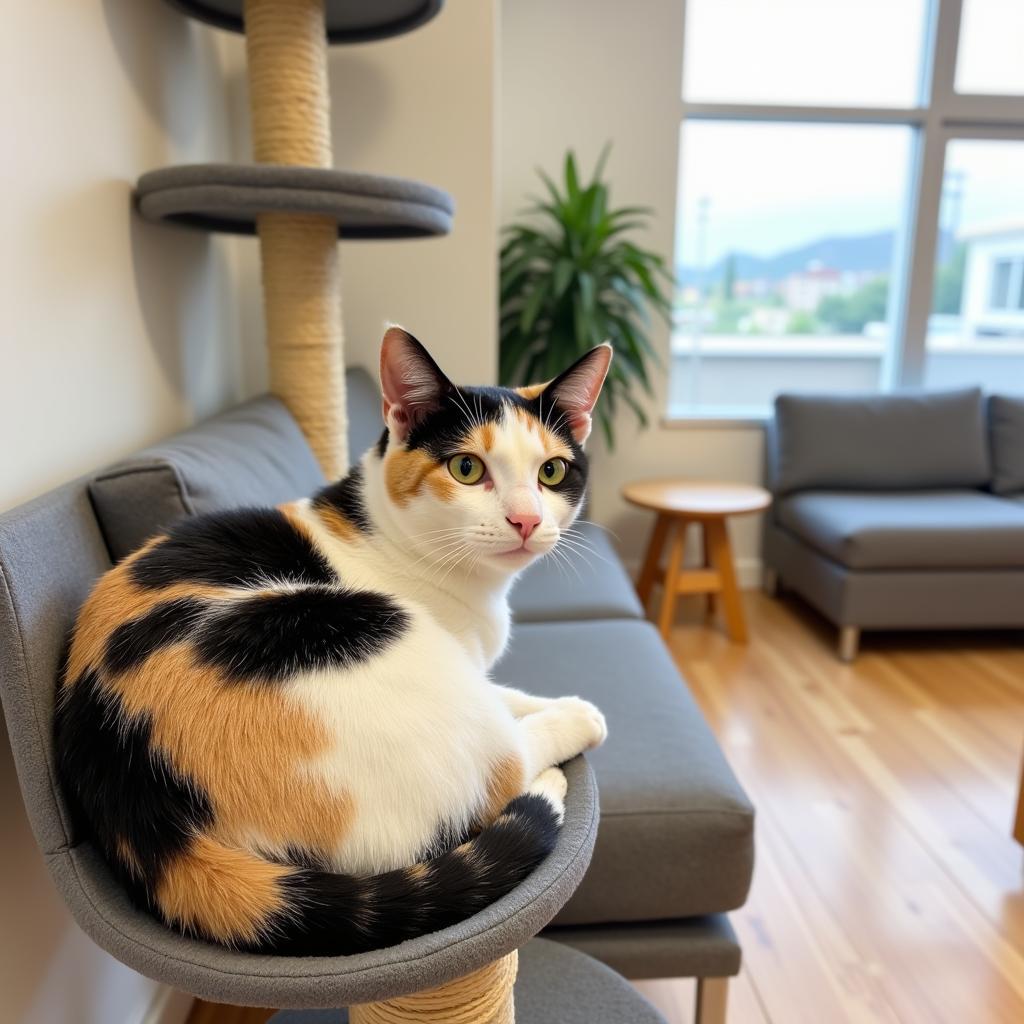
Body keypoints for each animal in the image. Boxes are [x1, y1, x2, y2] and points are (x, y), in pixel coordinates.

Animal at [56, 329, 610, 958]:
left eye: (552, 472)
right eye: (467, 468)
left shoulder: (470, 666)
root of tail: (139, 804)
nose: (526, 520)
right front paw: (577, 714)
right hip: (360, 625)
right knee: (505, 767)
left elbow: (500, 691)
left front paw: (548, 699)